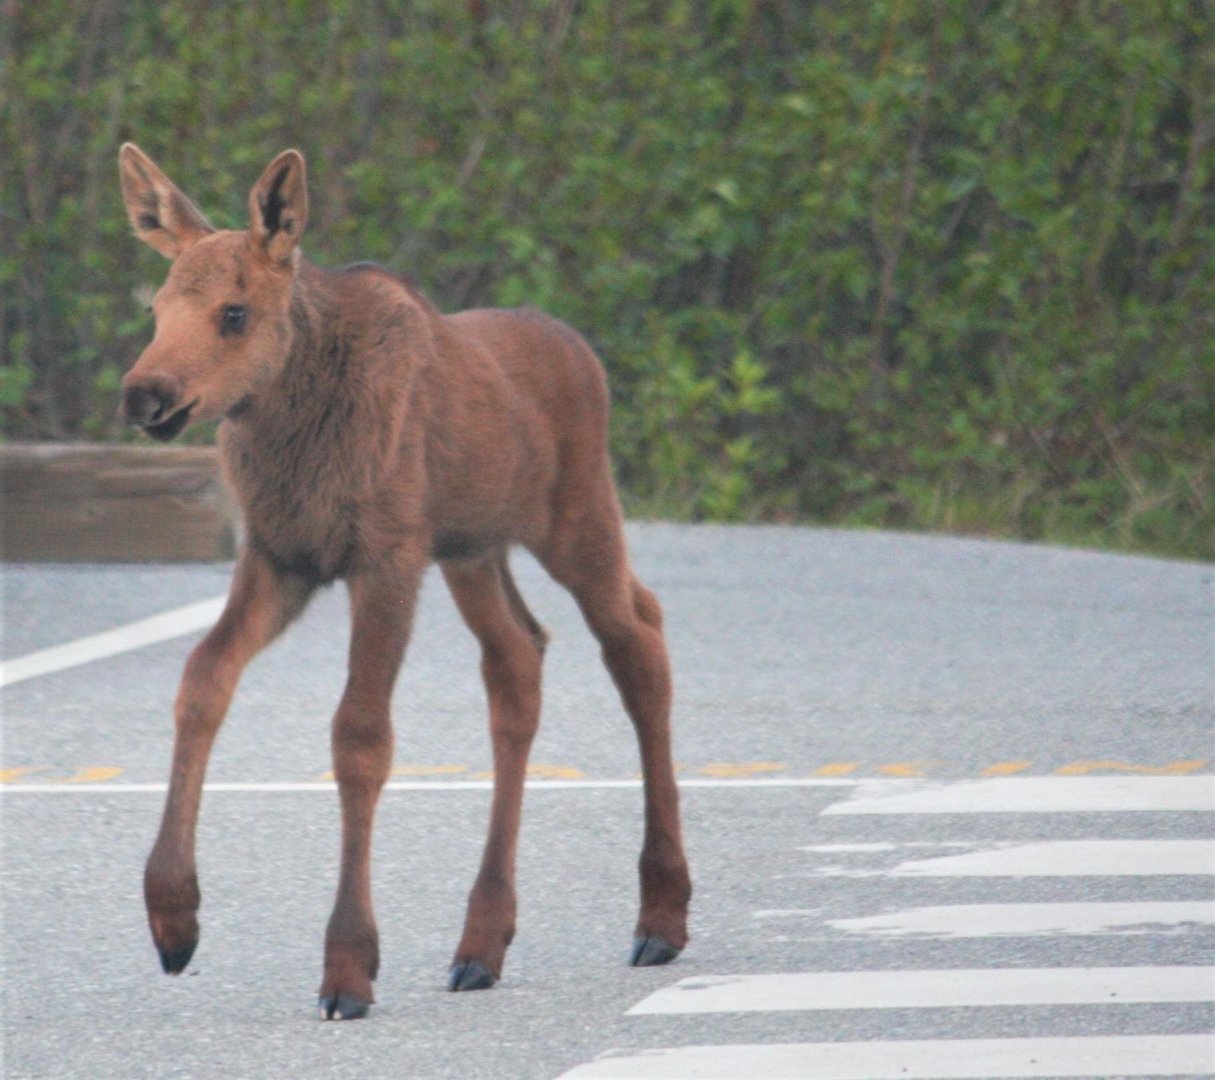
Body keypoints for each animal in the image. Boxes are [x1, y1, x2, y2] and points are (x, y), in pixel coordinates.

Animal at [116, 144, 691, 1020]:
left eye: (234, 313)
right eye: (156, 310)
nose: (145, 395)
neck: (289, 429)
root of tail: (581, 351)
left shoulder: (383, 559)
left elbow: (360, 738)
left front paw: (349, 966)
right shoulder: (282, 559)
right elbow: (202, 680)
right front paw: (174, 918)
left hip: (577, 518)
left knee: (637, 638)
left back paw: (660, 915)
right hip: (471, 552)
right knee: (519, 659)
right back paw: (482, 942)